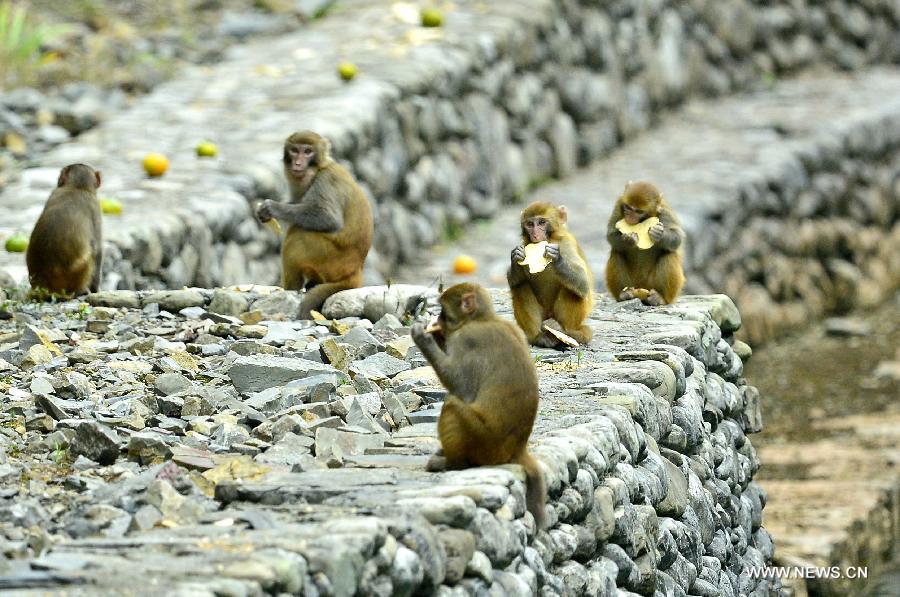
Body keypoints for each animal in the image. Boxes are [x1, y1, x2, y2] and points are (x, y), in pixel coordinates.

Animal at [26, 163, 103, 298]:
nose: (58, 181)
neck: (77, 187)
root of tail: (44, 284)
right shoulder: (95, 207)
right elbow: (97, 250)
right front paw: (95, 289)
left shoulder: (52, 194)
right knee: (91, 254)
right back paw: (81, 291)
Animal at [255, 129, 374, 316]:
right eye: (294, 150)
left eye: (307, 151)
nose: (297, 163)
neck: (319, 169)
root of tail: (356, 270)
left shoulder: (324, 182)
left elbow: (328, 218)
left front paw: (273, 207)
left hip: (330, 258)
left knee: (297, 235)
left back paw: (290, 289)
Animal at [410, 284, 548, 532]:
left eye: (444, 311)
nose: (438, 319)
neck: (482, 318)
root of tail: (518, 449)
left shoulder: (466, 339)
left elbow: (462, 387)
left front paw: (424, 337)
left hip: (483, 442)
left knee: (453, 405)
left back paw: (451, 463)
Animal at [510, 203, 596, 346]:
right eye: (530, 224)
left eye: (541, 222)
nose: (535, 234)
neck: (550, 238)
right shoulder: (525, 244)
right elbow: (514, 280)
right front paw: (516, 256)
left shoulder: (567, 244)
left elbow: (584, 283)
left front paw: (557, 259)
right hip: (543, 315)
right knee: (520, 285)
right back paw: (537, 337)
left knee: (573, 289)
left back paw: (565, 332)